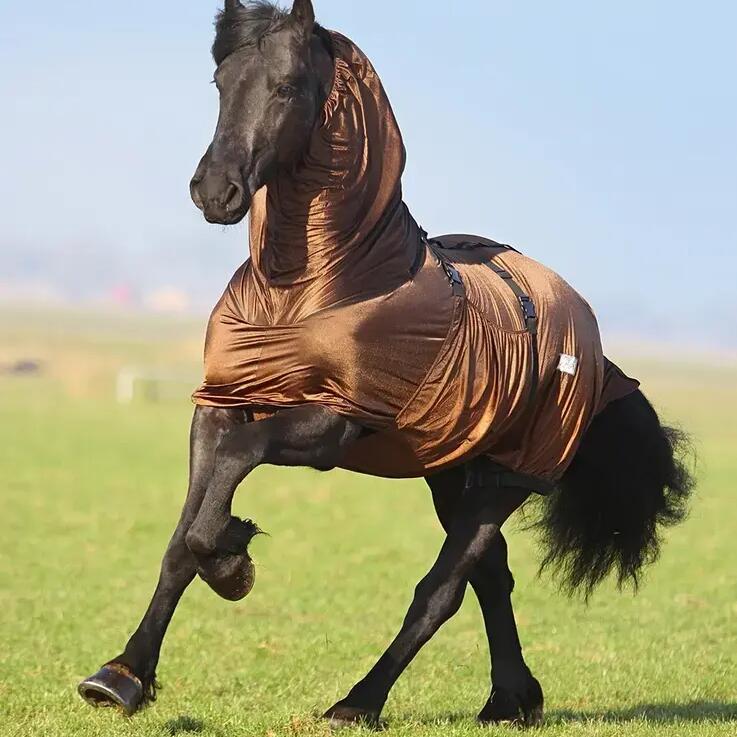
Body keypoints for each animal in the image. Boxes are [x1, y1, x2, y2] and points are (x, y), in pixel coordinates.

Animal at [78, 0, 694, 728]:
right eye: (221, 83)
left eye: (286, 86)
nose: (214, 190)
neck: (313, 286)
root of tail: (586, 330)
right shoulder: (218, 406)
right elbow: (181, 538)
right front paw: (122, 676)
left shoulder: (333, 423)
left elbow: (230, 478)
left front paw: (231, 559)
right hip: (451, 472)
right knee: (491, 576)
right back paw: (509, 699)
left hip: (506, 478)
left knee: (444, 588)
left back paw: (359, 701)